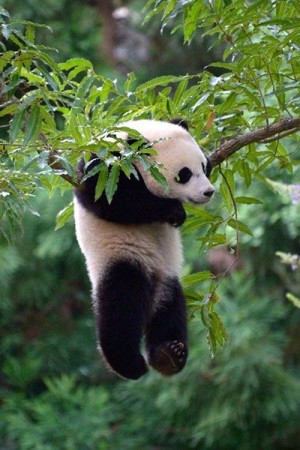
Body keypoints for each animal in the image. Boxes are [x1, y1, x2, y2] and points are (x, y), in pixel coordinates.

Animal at [74, 119, 214, 380]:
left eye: (203, 165)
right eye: (184, 174)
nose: (208, 192)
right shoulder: (103, 168)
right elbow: (113, 200)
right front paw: (173, 211)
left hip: (168, 276)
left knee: (170, 309)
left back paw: (168, 354)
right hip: (120, 257)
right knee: (121, 306)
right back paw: (129, 364)